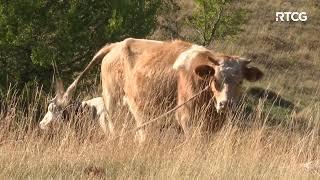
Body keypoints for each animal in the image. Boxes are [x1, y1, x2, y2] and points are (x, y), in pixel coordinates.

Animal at [47, 38, 262, 143]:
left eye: (240, 81)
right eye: (216, 79)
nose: (226, 104)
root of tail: (116, 45)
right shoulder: (186, 117)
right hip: (112, 98)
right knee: (112, 124)